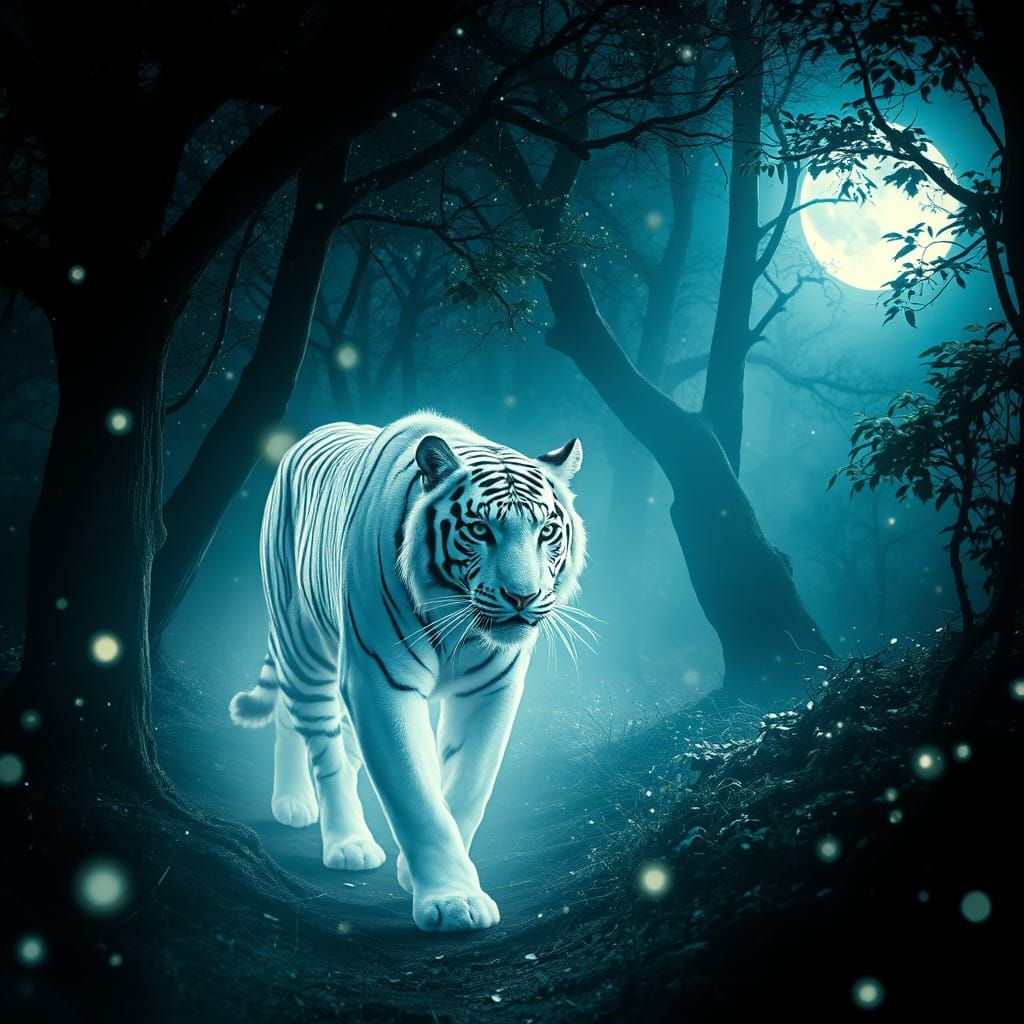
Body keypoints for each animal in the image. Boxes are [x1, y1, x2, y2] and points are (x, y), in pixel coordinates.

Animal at [229, 411, 587, 932]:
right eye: (481, 530)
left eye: (545, 532)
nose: (522, 597)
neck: (458, 627)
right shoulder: (380, 682)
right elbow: (414, 793)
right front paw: (454, 901)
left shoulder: (492, 689)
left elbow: (467, 788)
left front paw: (417, 872)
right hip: (304, 642)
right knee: (320, 743)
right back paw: (339, 835)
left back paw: (297, 804)